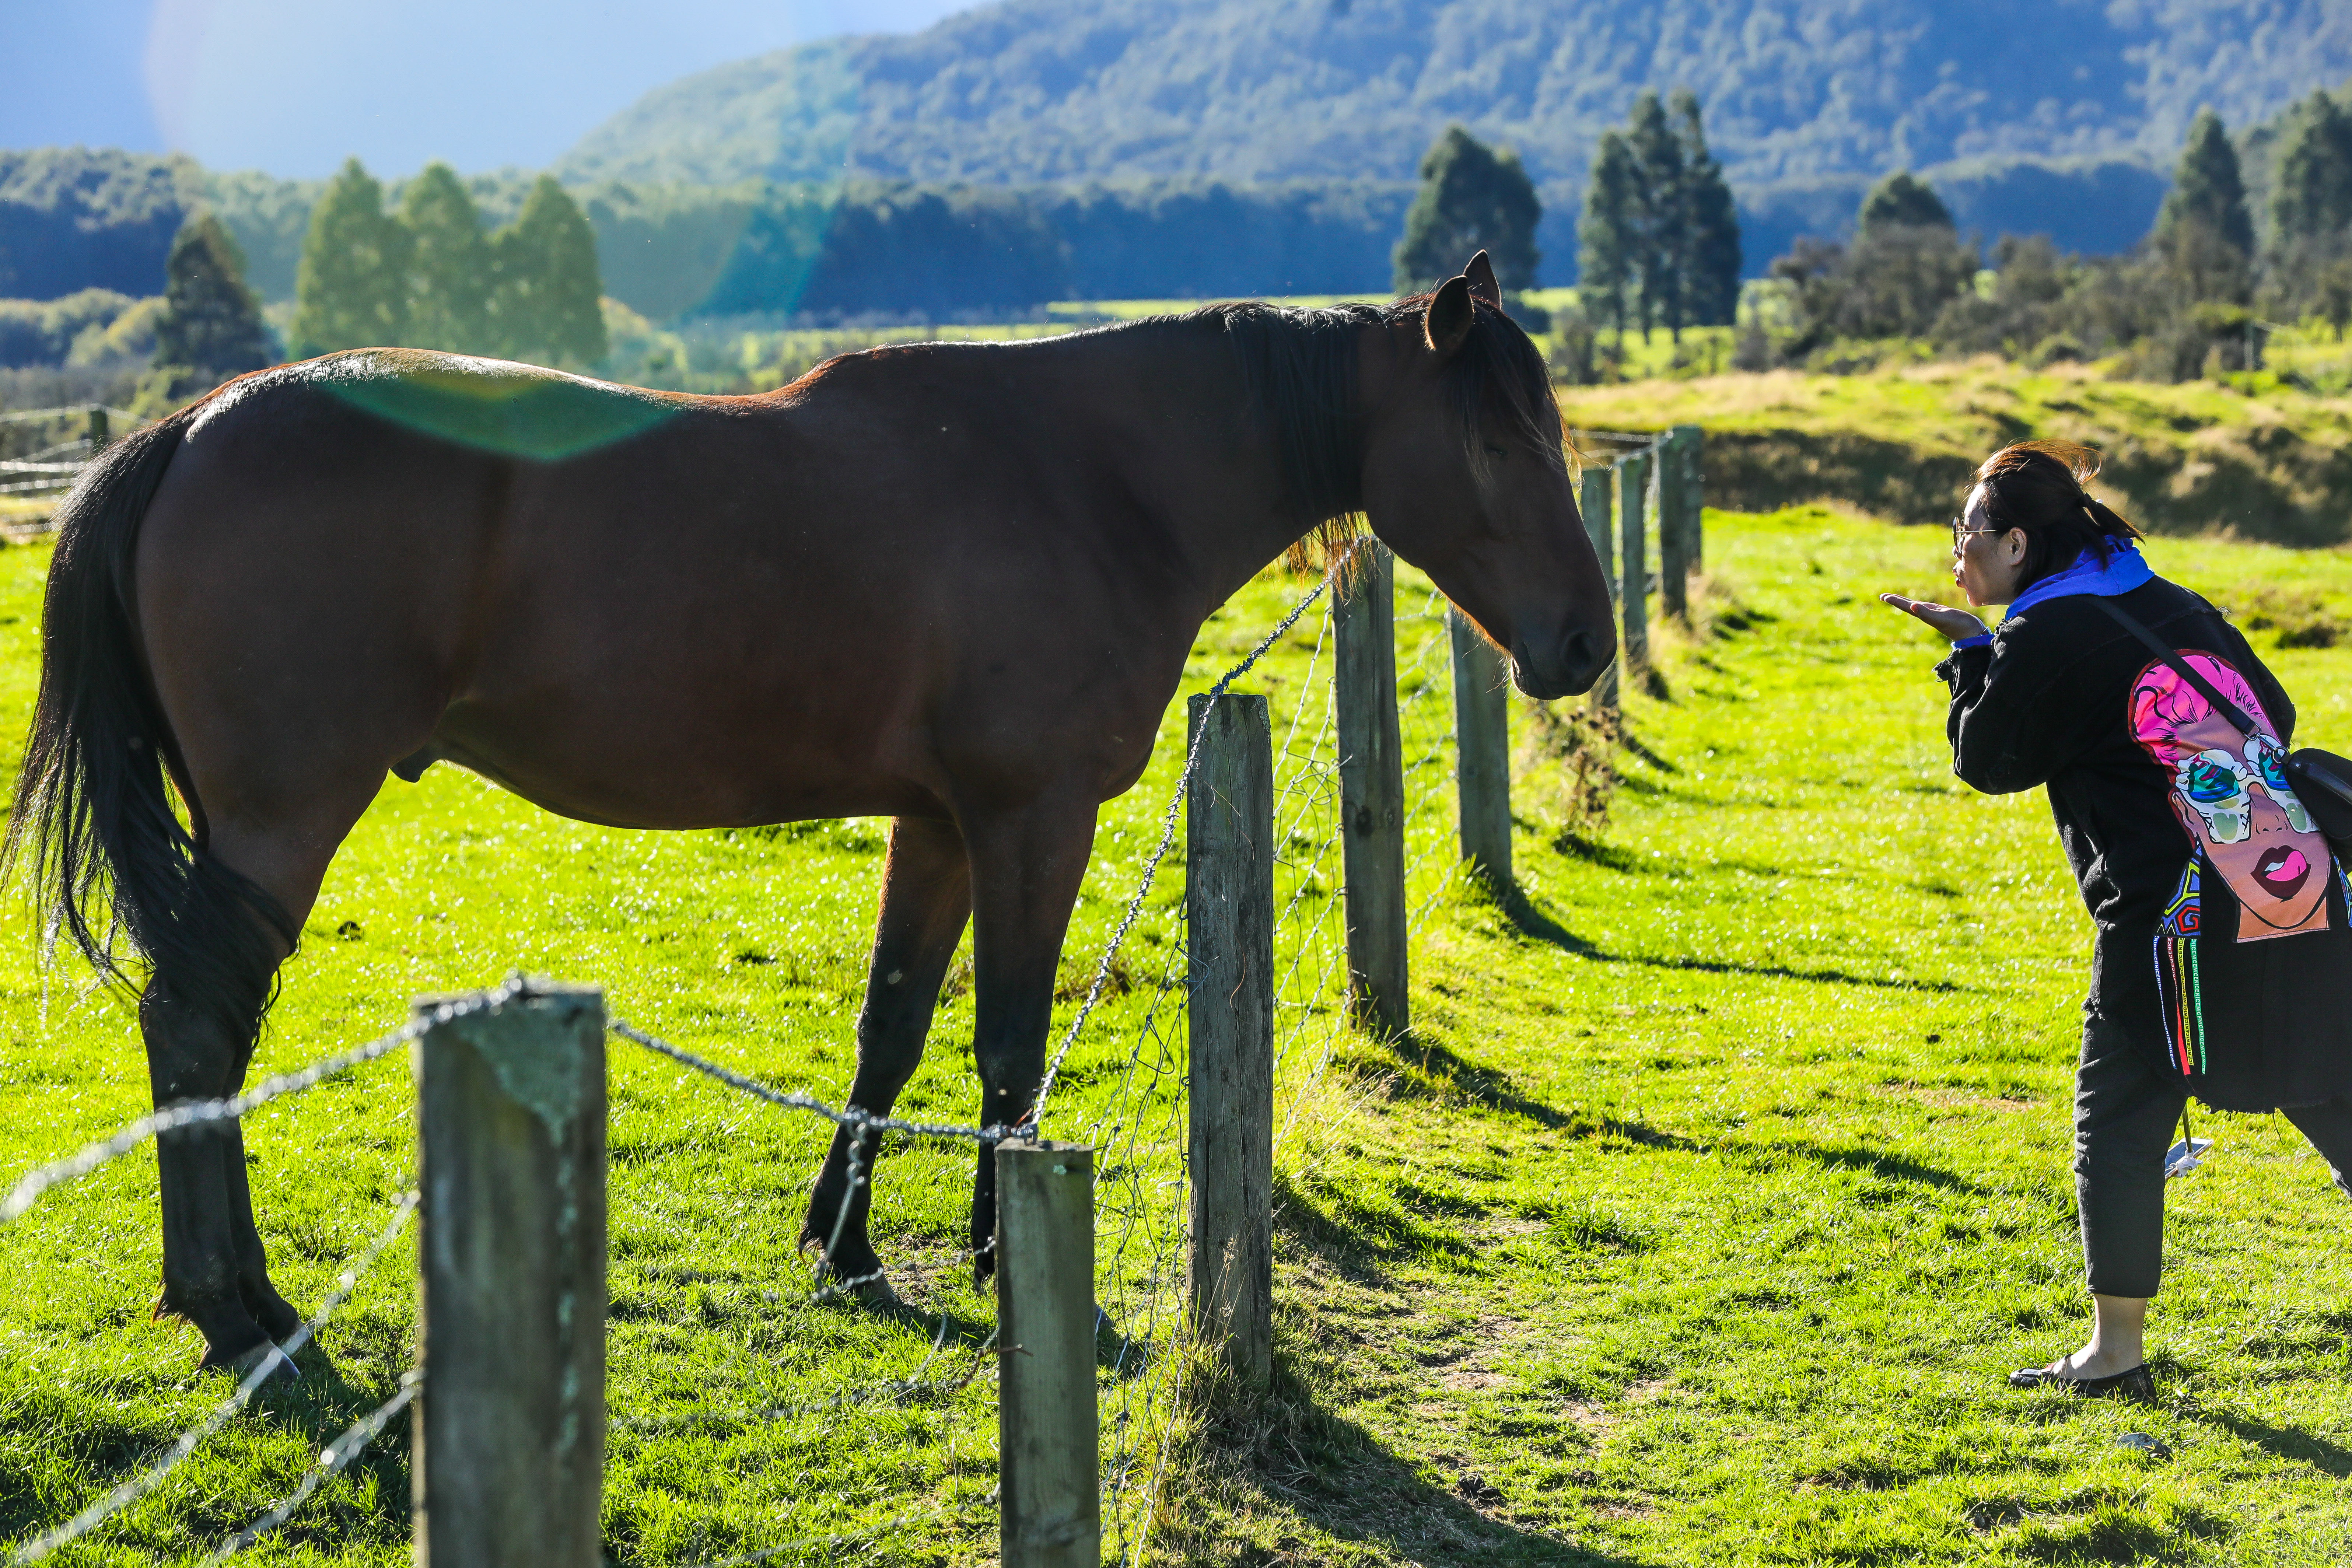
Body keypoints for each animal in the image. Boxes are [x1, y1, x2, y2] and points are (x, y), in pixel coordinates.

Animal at [4, 253, 1614, 1376]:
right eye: (1496, 444)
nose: (1585, 644)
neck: (1087, 479)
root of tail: (193, 425)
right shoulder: (1030, 819)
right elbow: (1008, 1042)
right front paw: (1000, 1252)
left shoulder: (942, 824)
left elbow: (893, 1027)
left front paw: (844, 1244)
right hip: (280, 822)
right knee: (196, 1029)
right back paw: (240, 1306)